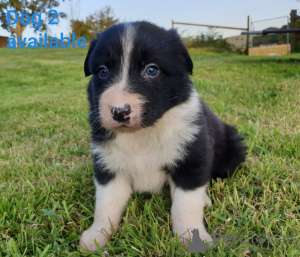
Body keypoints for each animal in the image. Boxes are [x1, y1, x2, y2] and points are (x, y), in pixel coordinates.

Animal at [79, 21, 246, 249]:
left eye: (152, 70)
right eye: (102, 71)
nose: (119, 111)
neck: (143, 134)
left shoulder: (192, 159)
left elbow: (186, 204)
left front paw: (190, 237)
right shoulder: (109, 166)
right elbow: (106, 204)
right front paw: (96, 236)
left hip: (232, 150)